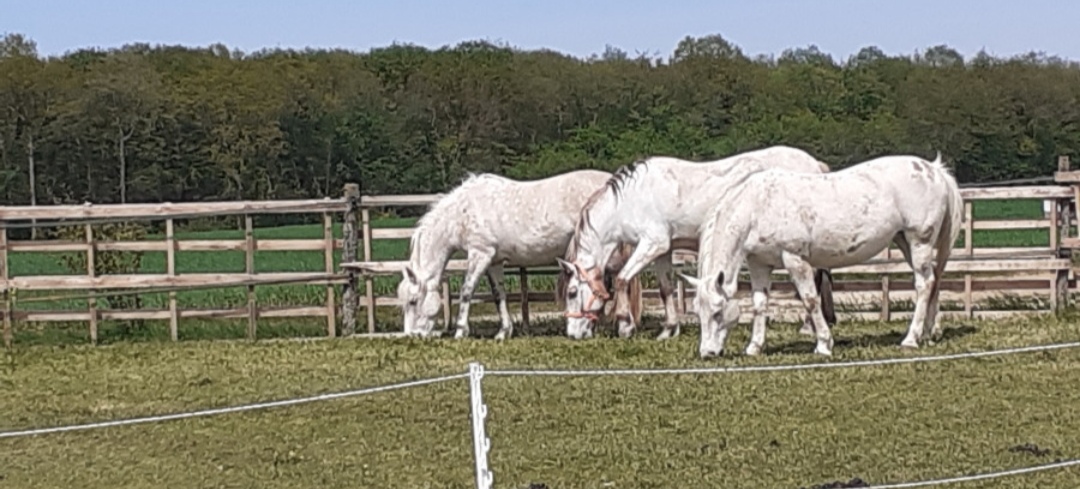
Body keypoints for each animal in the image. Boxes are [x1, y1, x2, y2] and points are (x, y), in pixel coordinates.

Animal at [397, 169, 617, 340]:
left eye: (413, 301)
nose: (412, 335)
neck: (462, 213)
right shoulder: (494, 261)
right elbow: (498, 294)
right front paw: (504, 332)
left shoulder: (480, 254)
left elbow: (466, 291)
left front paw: (460, 332)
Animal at [556, 145, 838, 341]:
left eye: (572, 292)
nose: (573, 333)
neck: (633, 199)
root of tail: (815, 165)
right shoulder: (663, 250)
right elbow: (665, 288)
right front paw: (668, 330)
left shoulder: (652, 244)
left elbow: (624, 279)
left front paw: (625, 326)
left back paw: (808, 327)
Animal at [682, 153, 963, 358]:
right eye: (697, 312)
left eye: (718, 312)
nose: (707, 353)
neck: (756, 207)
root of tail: (933, 169)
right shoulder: (759, 264)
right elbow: (760, 304)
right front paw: (754, 347)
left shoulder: (795, 260)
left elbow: (810, 300)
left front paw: (824, 344)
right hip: (904, 241)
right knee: (933, 282)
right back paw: (929, 333)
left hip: (919, 242)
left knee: (924, 284)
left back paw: (911, 339)